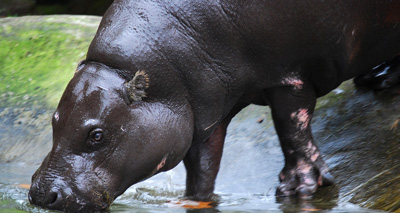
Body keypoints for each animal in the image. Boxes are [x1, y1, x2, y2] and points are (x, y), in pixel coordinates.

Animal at [28, 0, 400, 211]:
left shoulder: (289, 79)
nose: (41, 195)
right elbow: (204, 165)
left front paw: (297, 188)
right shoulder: (201, 113)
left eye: (97, 135)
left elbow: (292, 130)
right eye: (54, 120)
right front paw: (194, 201)